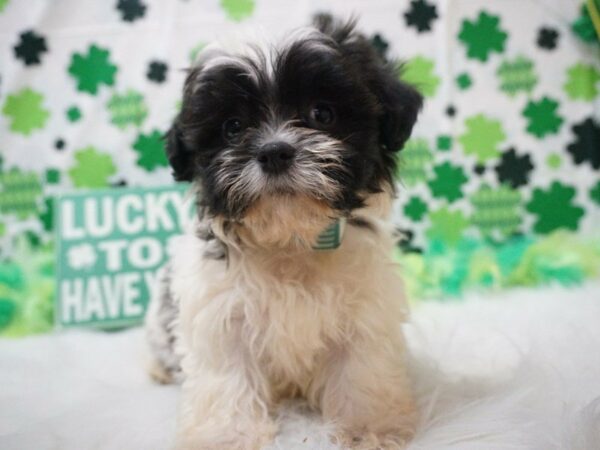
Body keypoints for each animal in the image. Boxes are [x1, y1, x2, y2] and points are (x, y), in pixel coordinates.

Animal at [145, 14, 422, 450]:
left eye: (322, 114)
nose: (274, 151)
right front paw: (227, 435)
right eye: (233, 127)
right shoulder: (221, 315)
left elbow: (360, 368)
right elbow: (228, 377)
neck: (290, 240)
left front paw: (368, 425)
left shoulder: (364, 310)